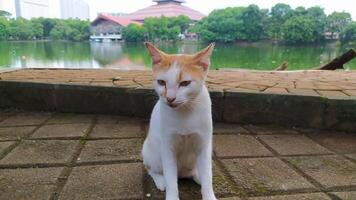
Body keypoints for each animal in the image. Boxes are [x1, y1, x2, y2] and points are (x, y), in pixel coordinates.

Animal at [142, 42, 217, 200]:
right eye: (161, 82)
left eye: (185, 83)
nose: (170, 98)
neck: (185, 111)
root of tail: (182, 174)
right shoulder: (168, 147)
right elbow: (171, 180)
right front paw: (171, 194)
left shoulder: (204, 145)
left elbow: (208, 175)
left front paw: (208, 194)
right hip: (151, 153)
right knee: (151, 169)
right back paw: (161, 181)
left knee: (196, 173)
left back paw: (197, 176)